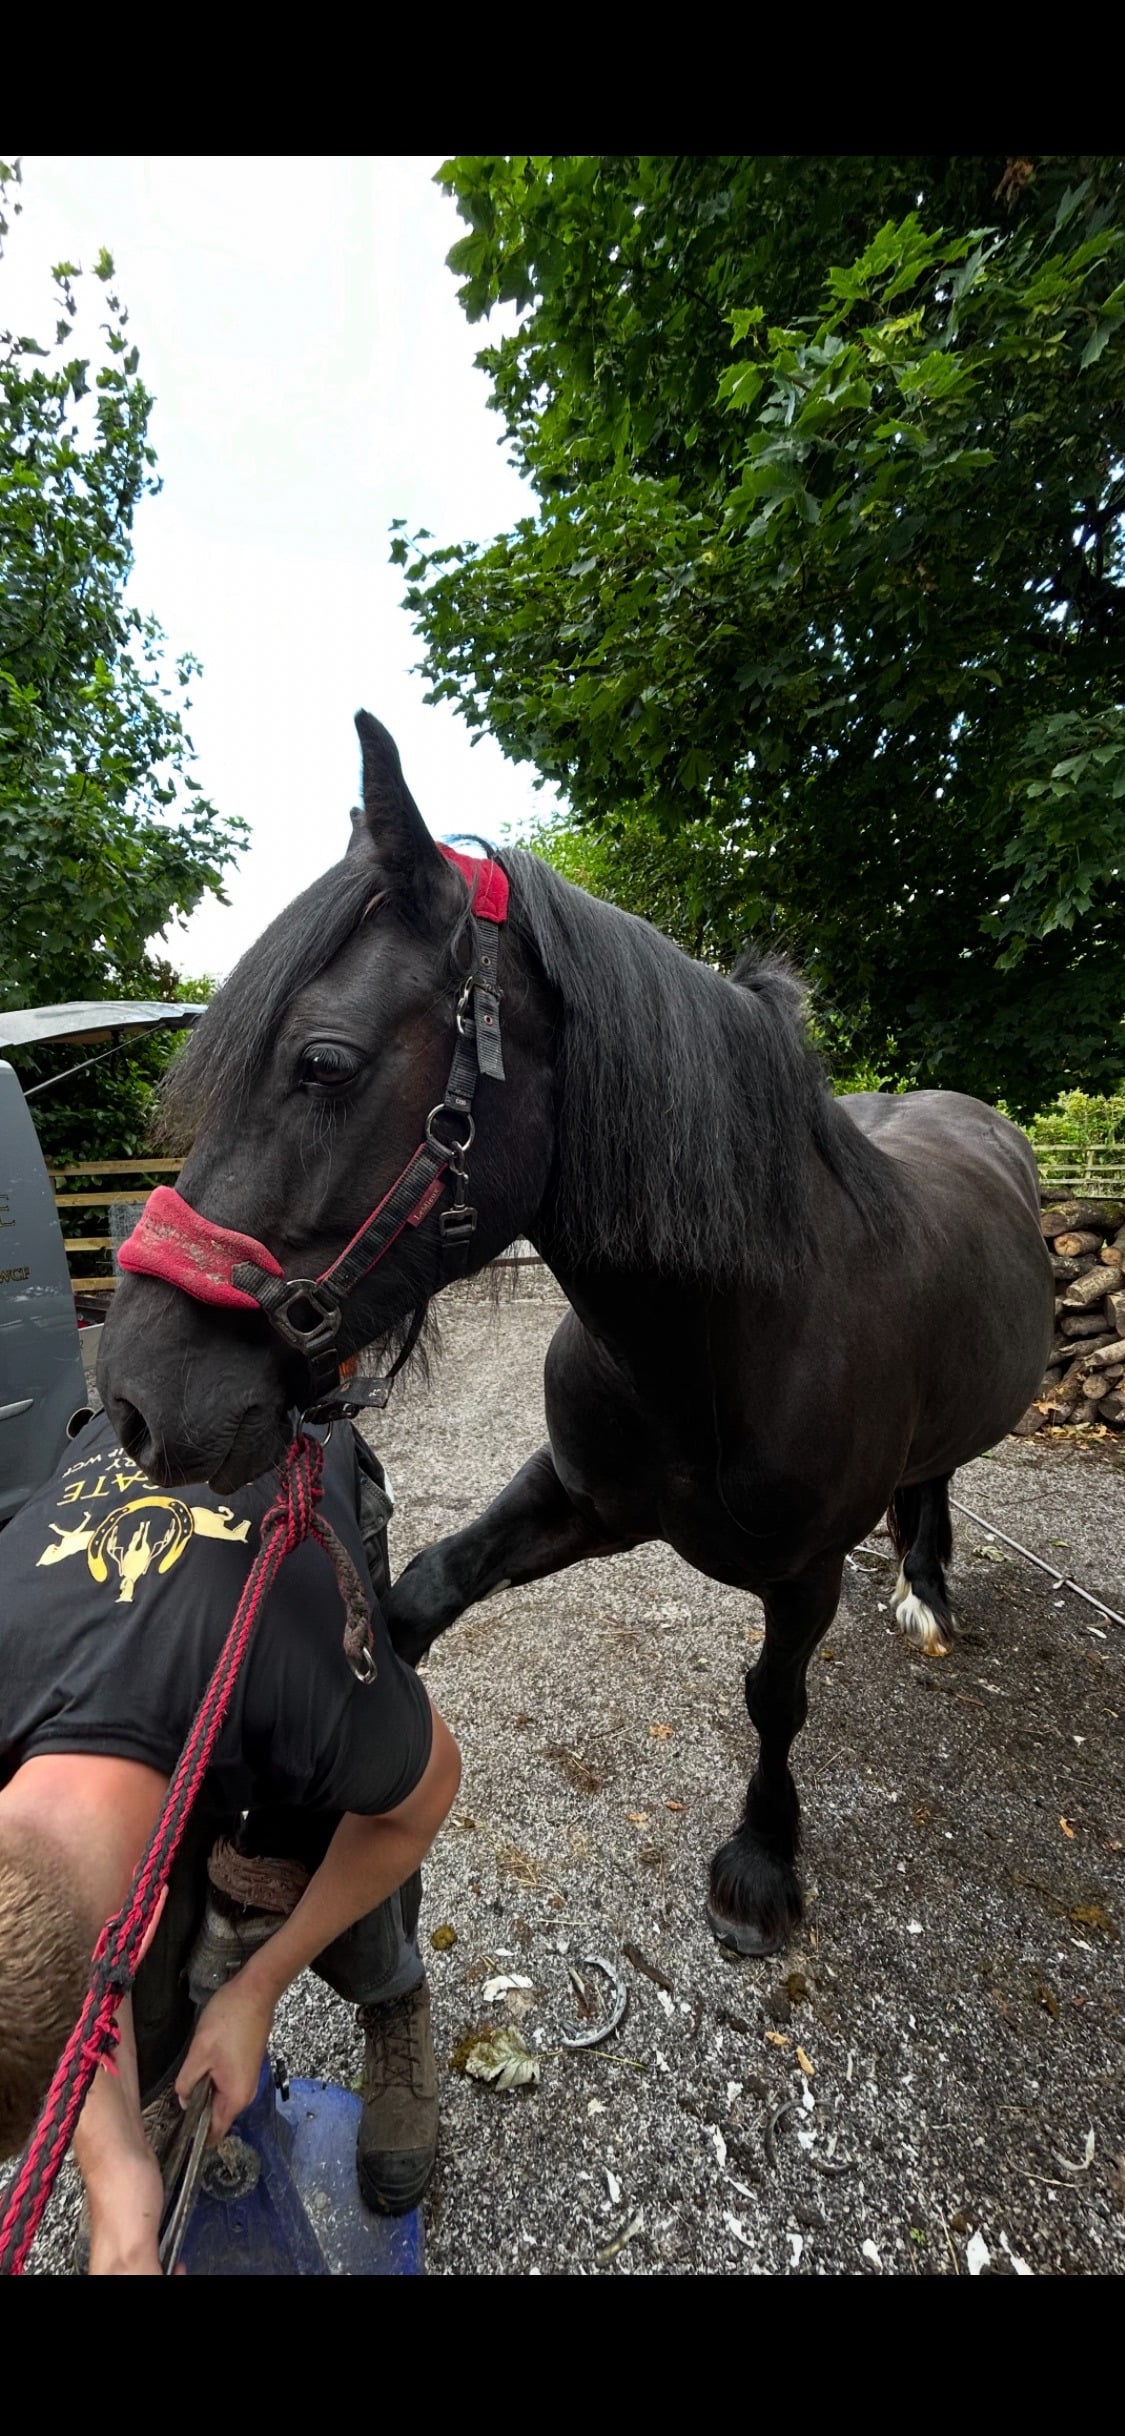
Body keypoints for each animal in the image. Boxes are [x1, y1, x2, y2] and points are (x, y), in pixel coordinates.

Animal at [98, 711, 1055, 1956]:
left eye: (324, 1064)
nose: (132, 1397)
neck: (719, 1347)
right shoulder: (578, 1499)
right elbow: (421, 1594)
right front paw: (292, 1831)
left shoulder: (799, 1574)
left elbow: (776, 1697)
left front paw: (762, 1862)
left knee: (936, 1478)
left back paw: (928, 1587)